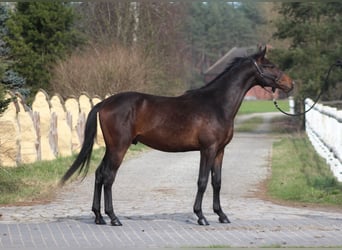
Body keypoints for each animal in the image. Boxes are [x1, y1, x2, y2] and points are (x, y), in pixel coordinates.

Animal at [61, 47, 294, 227]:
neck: (217, 104)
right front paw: (201, 217)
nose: (290, 84)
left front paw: (221, 215)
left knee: (99, 174)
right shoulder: (207, 149)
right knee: (109, 177)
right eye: (270, 66)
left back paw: (99, 217)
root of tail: (104, 103)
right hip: (119, 147)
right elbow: (202, 181)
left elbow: (216, 182)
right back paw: (113, 218)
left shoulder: (220, 150)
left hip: (111, 148)